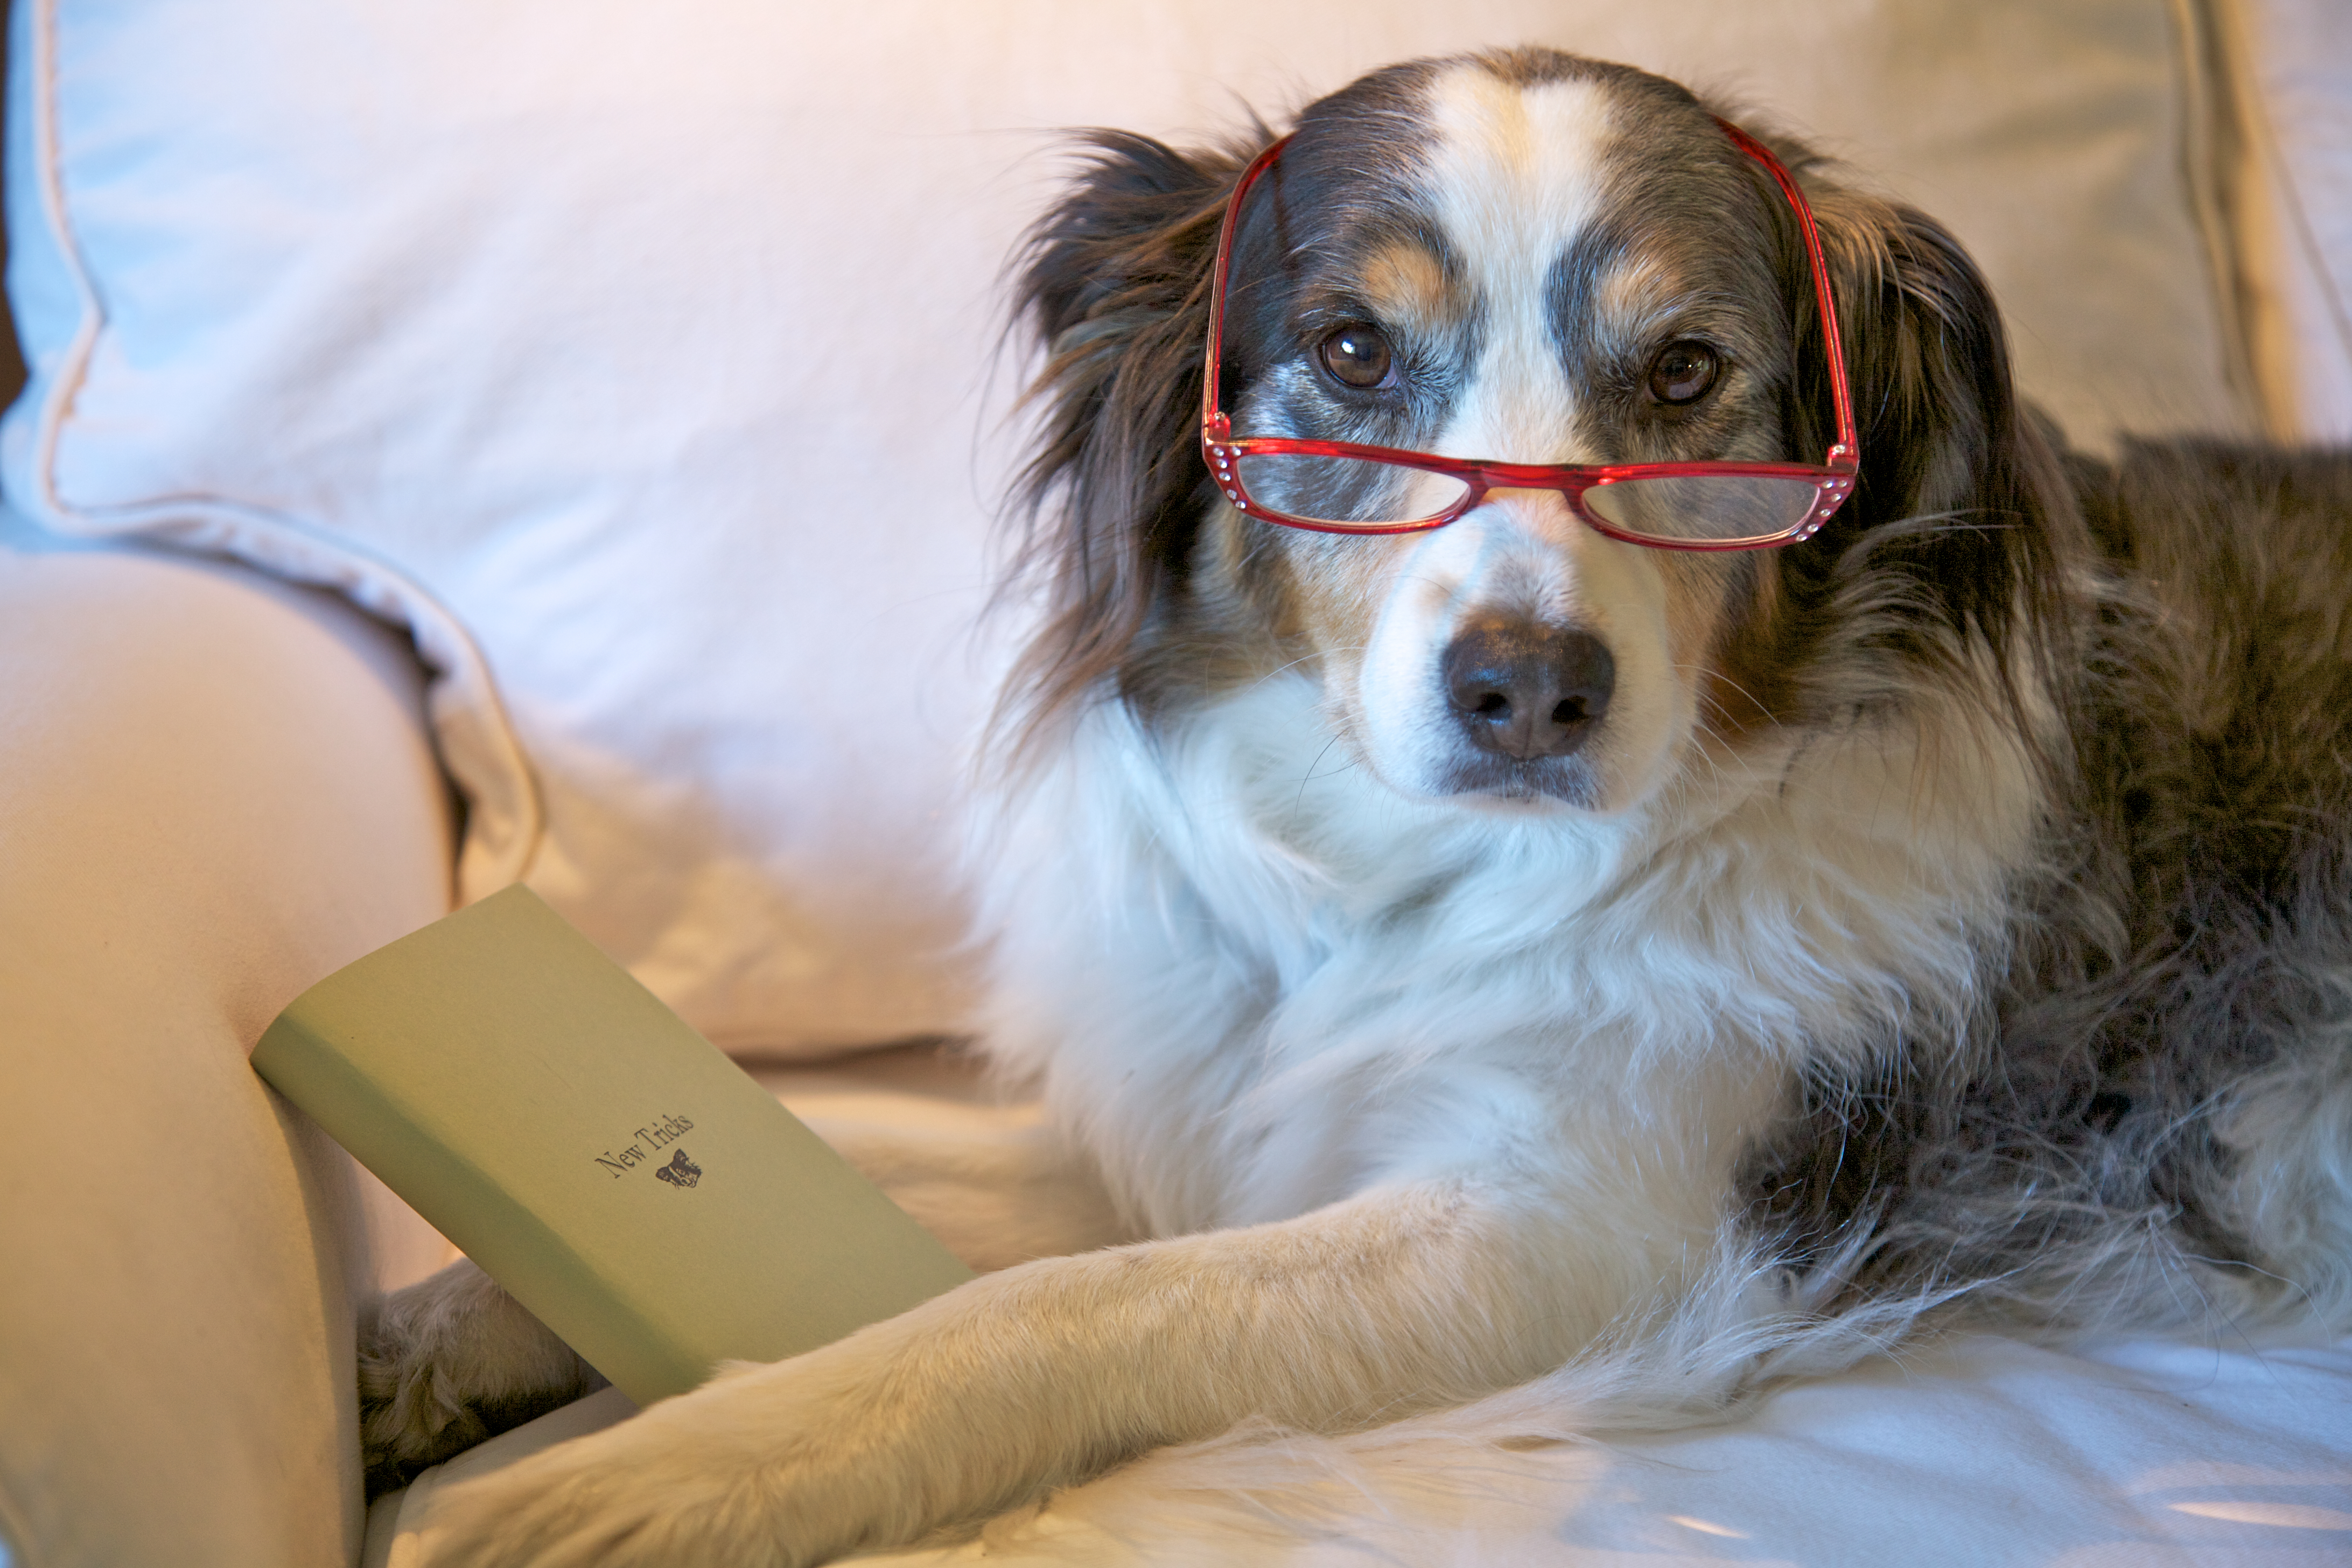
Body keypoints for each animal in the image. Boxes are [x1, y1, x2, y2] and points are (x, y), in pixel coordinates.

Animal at [372, 43, 2352, 1560]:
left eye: (1686, 372)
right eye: (1345, 354)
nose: (1529, 688)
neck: (1412, 887)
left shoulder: (1581, 1232)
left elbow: (1063, 1306)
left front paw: (694, 1464)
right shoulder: (1184, 1108)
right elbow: (896, 1178)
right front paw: (419, 1330)